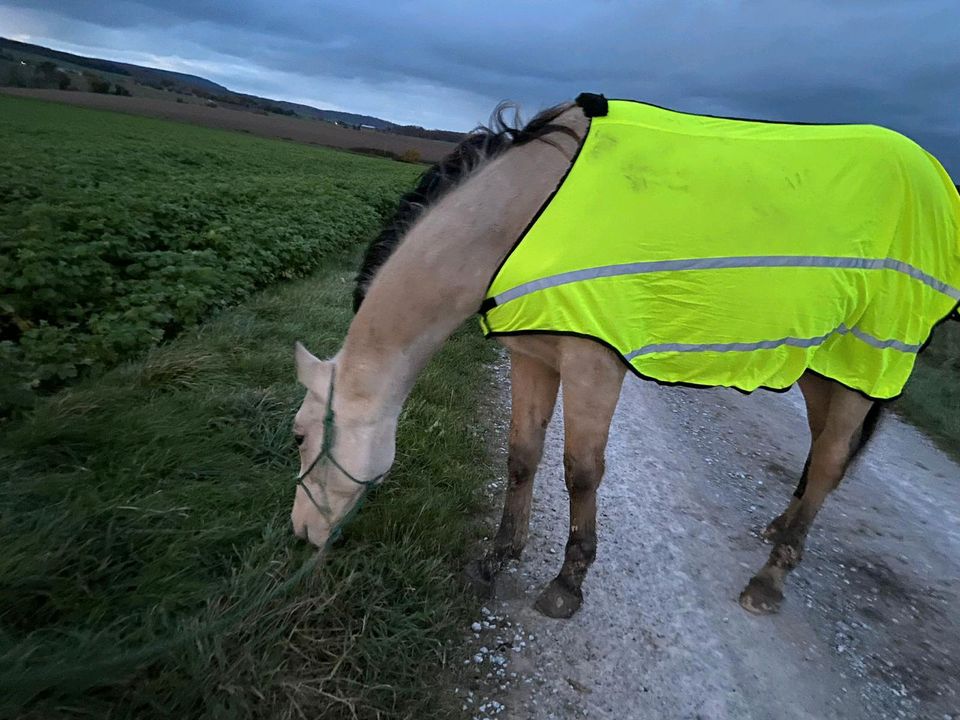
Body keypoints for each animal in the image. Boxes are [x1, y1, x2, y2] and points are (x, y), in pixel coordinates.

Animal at [286, 93, 960, 616]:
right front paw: (499, 558)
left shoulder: (593, 365)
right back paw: (779, 533)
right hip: (822, 368)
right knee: (825, 453)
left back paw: (769, 580)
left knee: (828, 463)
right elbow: (521, 457)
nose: (299, 536)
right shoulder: (533, 357)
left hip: (862, 363)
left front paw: (567, 584)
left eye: (297, 436)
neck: (527, 215)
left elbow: (580, 470)